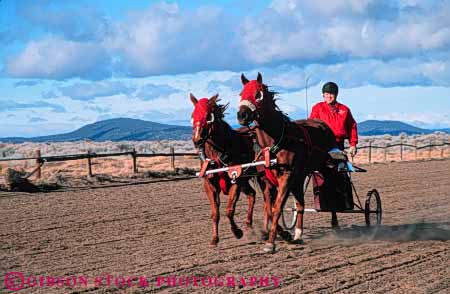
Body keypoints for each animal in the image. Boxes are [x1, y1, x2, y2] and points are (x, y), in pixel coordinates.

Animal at [188, 93, 280, 245]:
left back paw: (266, 230)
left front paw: (237, 232)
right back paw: (249, 224)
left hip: (262, 177)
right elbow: (215, 213)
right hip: (246, 182)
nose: (197, 139)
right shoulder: (209, 184)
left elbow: (229, 210)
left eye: (208, 116)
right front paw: (215, 238)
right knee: (252, 195)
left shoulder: (236, 180)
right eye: (193, 115)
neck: (219, 152)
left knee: (267, 201)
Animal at [236, 73, 338, 253]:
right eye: (241, 94)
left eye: (258, 94)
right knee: (300, 204)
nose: (242, 115)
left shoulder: (286, 177)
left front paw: (271, 243)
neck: (275, 141)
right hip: (299, 178)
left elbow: (277, 208)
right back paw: (297, 233)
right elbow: (270, 209)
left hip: (326, 170)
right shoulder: (266, 180)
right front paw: (283, 234)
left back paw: (334, 225)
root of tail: (323, 125)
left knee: (331, 195)